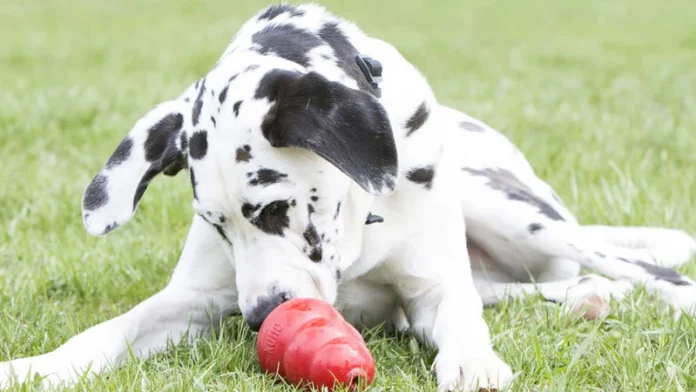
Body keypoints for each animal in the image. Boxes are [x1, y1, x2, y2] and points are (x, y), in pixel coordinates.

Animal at [1, 3, 696, 392]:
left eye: (276, 208)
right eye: (218, 225)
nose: (259, 316)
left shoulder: (435, 287)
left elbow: (462, 317)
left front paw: (474, 362)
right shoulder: (193, 299)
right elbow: (108, 331)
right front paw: (34, 368)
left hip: (512, 210)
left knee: (645, 269)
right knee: (534, 288)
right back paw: (588, 299)